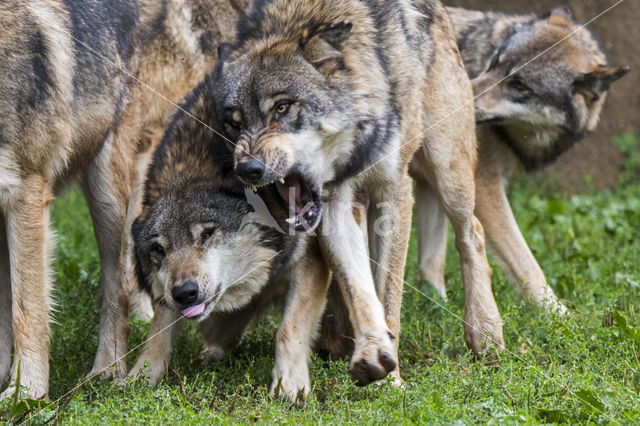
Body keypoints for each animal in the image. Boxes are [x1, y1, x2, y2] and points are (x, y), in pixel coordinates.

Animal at [0, 0, 141, 400]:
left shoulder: (24, 193)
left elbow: (28, 310)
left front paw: (26, 395)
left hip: (106, 195)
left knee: (118, 286)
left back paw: (107, 372)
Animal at [128, 82, 332, 402]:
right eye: (158, 250)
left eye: (207, 234)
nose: (185, 293)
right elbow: (159, 324)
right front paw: (142, 373)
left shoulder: (308, 256)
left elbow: (289, 327)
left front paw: (289, 384)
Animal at [210, 0, 504, 386]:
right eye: (234, 123)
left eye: (282, 107)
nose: (247, 169)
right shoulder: (336, 204)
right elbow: (360, 286)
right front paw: (373, 353)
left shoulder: (394, 191)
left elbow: (388, 295)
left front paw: (392, 382)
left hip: (448, 171)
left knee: (474, 233)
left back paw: (486, 334)